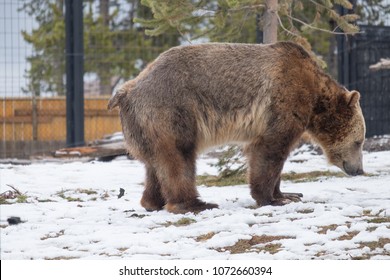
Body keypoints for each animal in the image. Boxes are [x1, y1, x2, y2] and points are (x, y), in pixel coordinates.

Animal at [107, 41, 366, 214]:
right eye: (359, 141)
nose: (358, 170)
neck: (315, 97)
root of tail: (126, 91)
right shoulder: (284, 101)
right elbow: (270, 150)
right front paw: (273, 198)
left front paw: (289, 194)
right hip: (171, 110)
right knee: (179, 159)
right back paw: (195, 203)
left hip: (144, 125)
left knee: (154, 164)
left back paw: (152, 202)